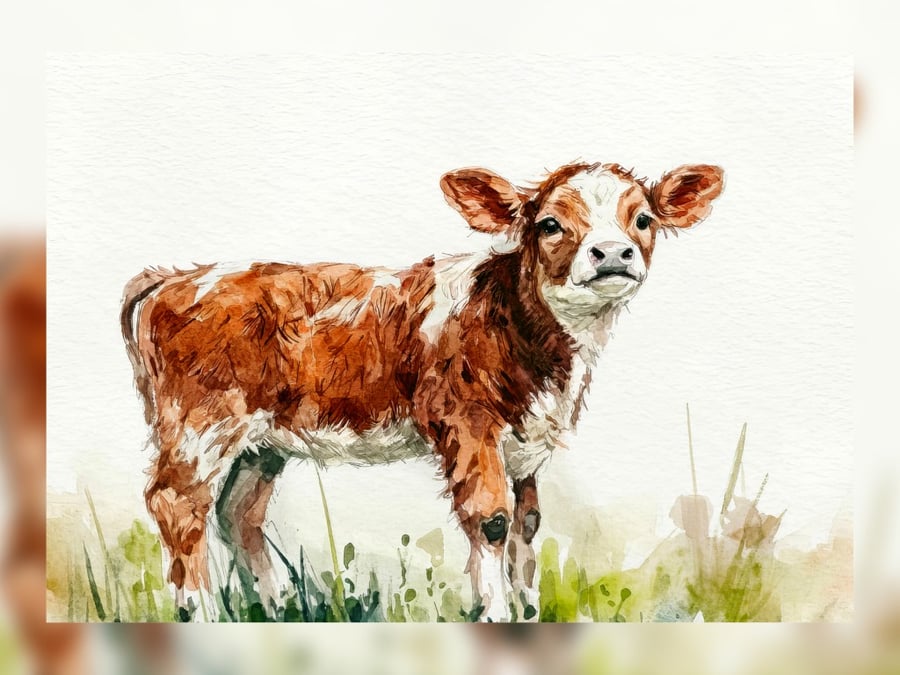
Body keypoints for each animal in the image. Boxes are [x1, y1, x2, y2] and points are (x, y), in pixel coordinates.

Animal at [121, 160, 724, 621]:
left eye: (642, 219)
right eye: (551, 224)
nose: (612, 255)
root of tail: (175, 277)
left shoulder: (527, 441)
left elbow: (527, 525)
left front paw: (530, 613)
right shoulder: (467, 423)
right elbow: (492, 519)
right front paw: (496, 616)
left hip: (263, 439)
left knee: (239, 512)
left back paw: (279, 609)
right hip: (201, 422)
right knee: (177, 504)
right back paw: (203, 613)